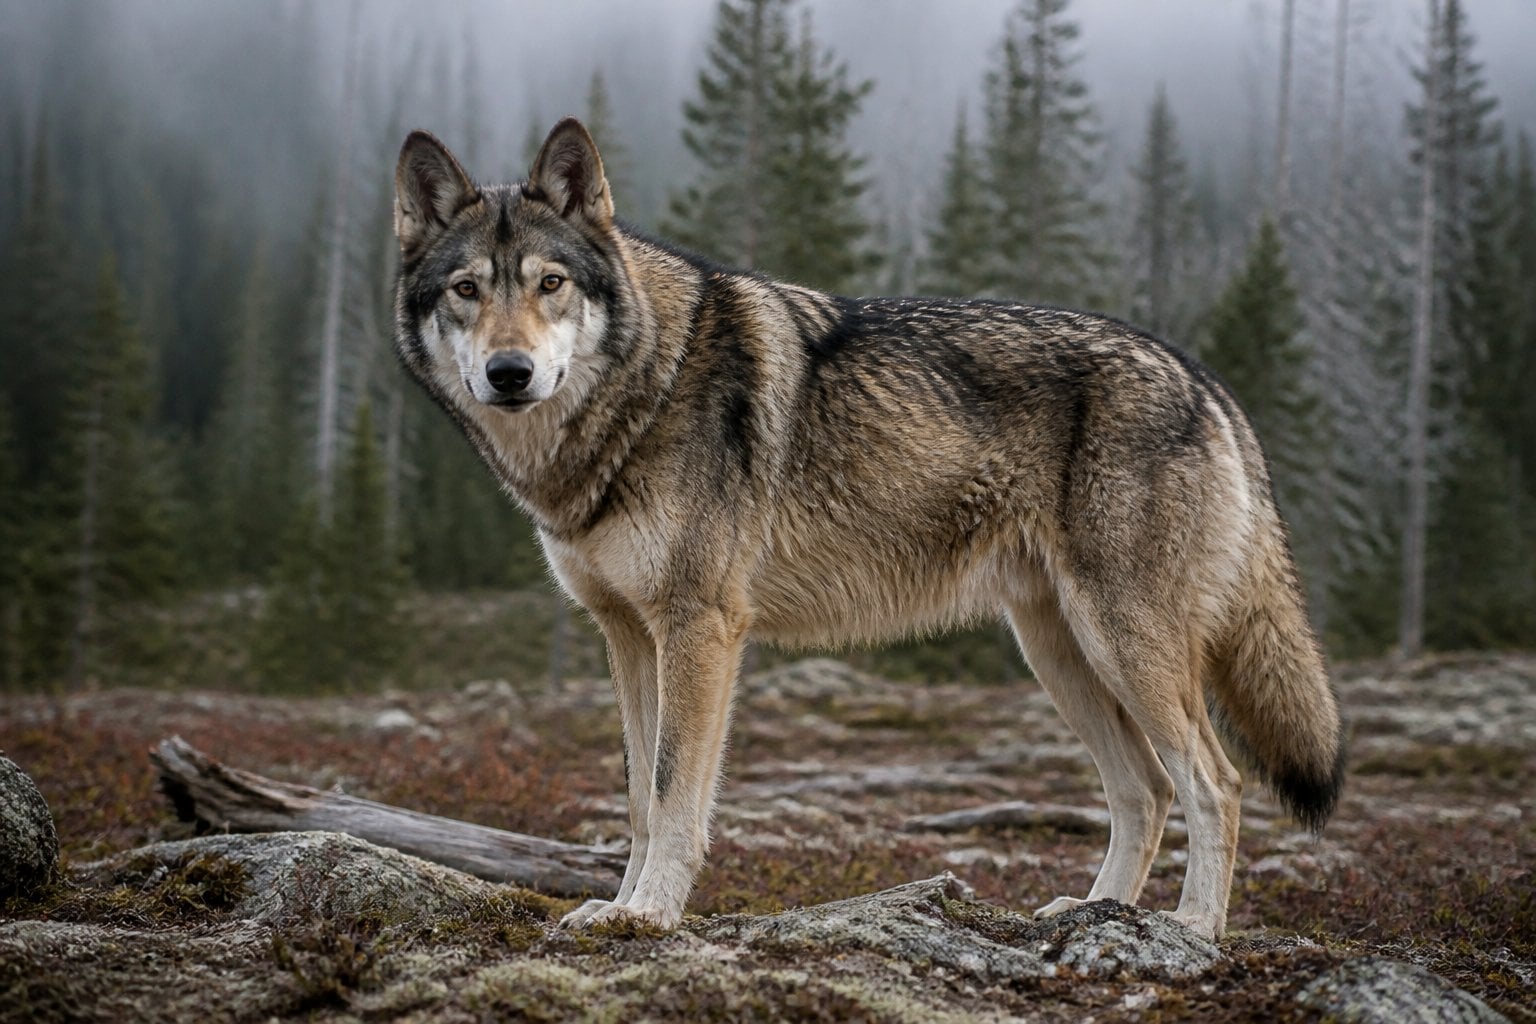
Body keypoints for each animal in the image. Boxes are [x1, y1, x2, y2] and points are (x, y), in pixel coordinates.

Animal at [391, 117, 1344, 940]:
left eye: (549, 284)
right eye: (468, 290)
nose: (509, 373)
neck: (641, 392)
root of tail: (1203, 379)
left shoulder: (701, 629)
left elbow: (671, 796)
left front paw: (650, 915)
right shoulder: (628, 636)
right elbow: (636, 797)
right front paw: (618, 908)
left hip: (1124, 647)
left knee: (1216, 783)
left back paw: (1193, 927)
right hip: (1061, 654)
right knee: (1144, 791)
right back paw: (1095, 912)